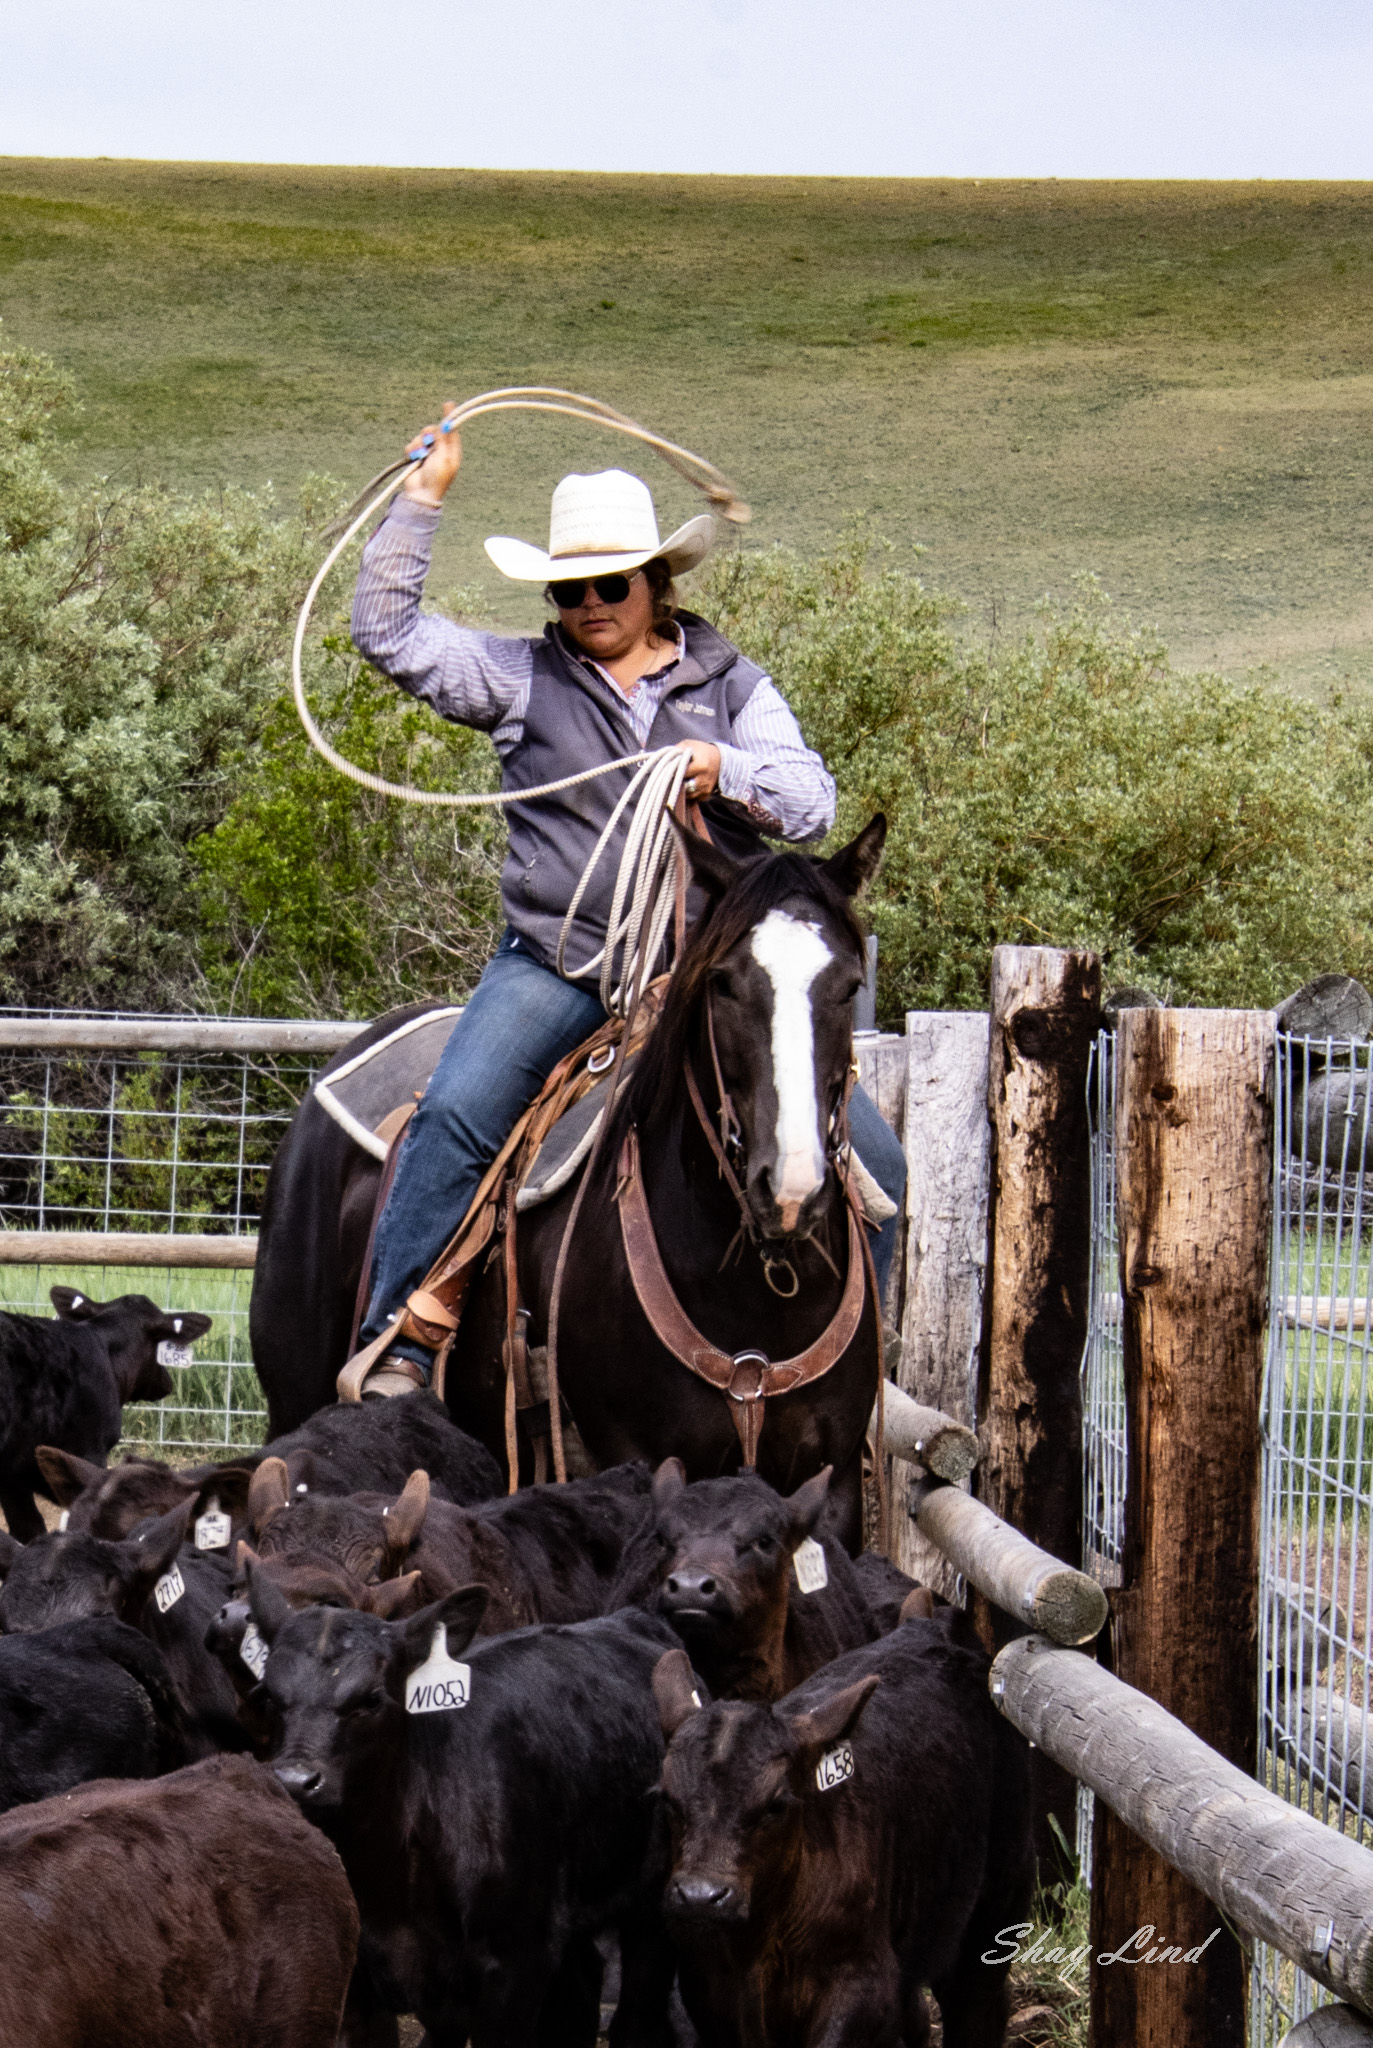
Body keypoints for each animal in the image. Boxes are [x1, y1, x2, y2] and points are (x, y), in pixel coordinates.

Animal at [251, 818, 887, 1548]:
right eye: (724, 983)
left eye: (848, 986)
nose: (789, 1189)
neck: (753, 1296)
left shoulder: (832, 1487)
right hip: (293, 1402)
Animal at [251, 1569, 685, 2047]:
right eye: (268, 1696)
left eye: (371, 1699)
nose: (295, 1781)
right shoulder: (359, 1986)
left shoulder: (514, 1962)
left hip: (652, 1907)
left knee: (637, 2012)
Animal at [653, 1612, 1034, 2048]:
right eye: (668, 1797)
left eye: (776, 1804)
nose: (701, 1897)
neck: (763, 1940)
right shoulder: (708, 1987)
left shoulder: (861, 1983)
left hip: (999, 1898)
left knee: (977, 2001)